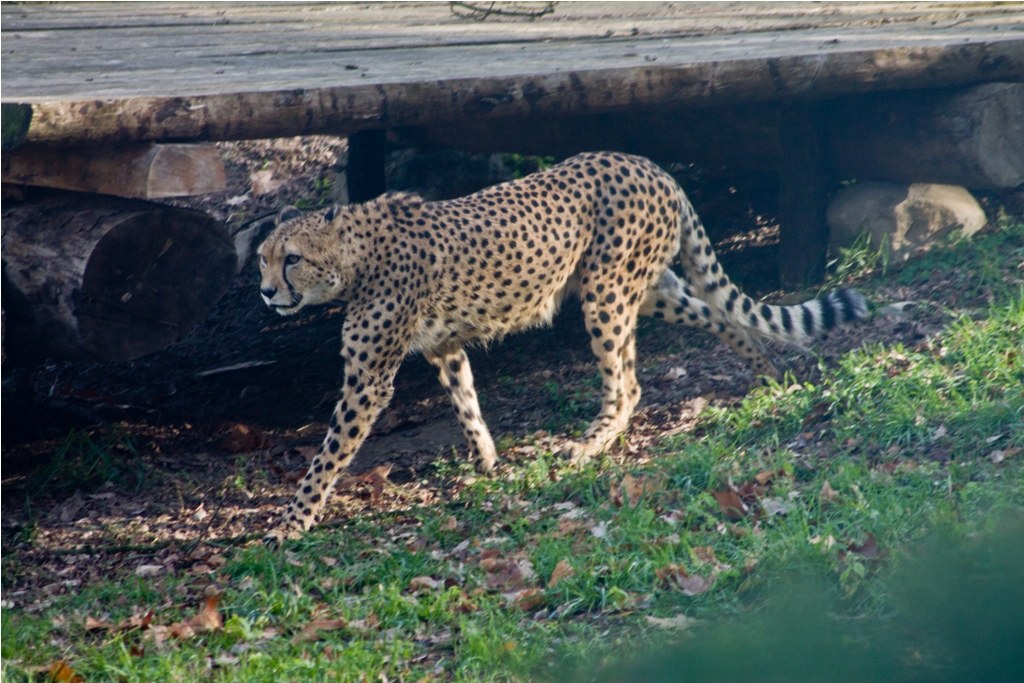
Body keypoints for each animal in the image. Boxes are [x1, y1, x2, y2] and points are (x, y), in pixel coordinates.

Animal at [258, 151, 867, 541]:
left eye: (292, 258)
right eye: (263, 258)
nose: (265, 292)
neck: (355, 258)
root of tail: (650, 165)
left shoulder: (368, 379)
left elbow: (329, 453)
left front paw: (291, 523)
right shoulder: (444, 345)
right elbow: (466, 401)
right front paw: (488, 461)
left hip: (606, 292)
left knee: (627, 385)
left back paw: (590, 445)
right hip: (644, 289)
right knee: (709, 314)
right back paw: (768, 368)